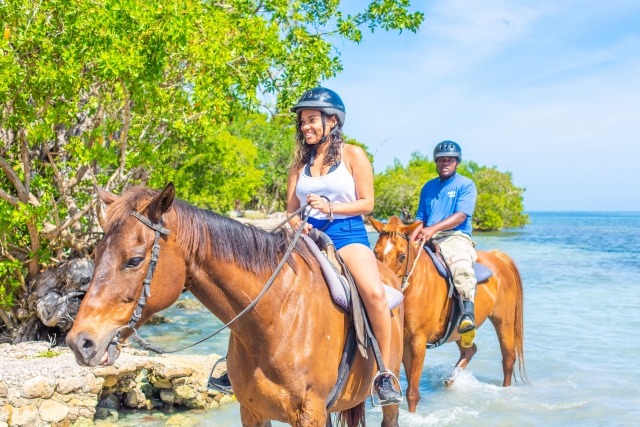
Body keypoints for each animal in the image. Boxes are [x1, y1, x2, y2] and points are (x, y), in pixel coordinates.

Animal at [66, 185, 404, 427]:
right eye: (96, 253)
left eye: (134, 260)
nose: (79, 343)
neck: (276, 318)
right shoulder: (252, 412)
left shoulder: (310, 413)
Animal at [368, 219, 528, 412]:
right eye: (375, 253)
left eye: (401, 256)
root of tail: (498, 257)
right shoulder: (405, 341)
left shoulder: (417, 342)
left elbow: (412, 392)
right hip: (458, 331)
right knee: (470, 350)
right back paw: (451, 380)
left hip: (504, 321)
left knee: (508, 359)